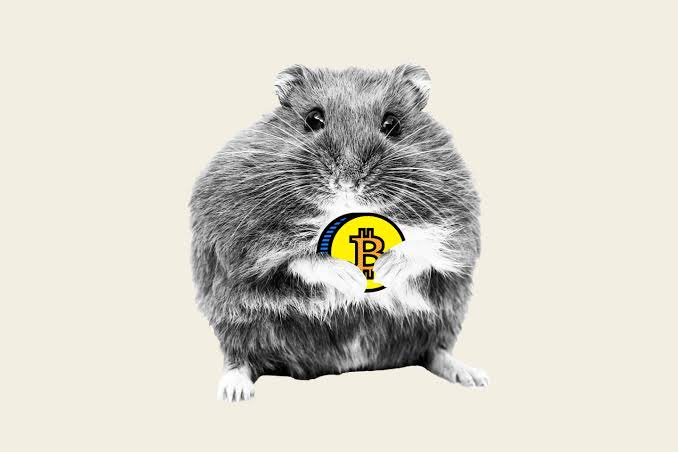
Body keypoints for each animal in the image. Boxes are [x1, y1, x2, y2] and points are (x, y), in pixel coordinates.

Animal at [190, 64, 488, 402]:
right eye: (313, 119)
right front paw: (350, 277)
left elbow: (429, 247)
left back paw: (471, 376)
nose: (347, 183)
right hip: (236, 321)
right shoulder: (237, 230)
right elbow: (299, 258)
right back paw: (234, 390)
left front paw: (384, 267)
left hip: (443, 318)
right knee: (240, 357)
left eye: (392, 124)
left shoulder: (460, 223)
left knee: (434, 350)